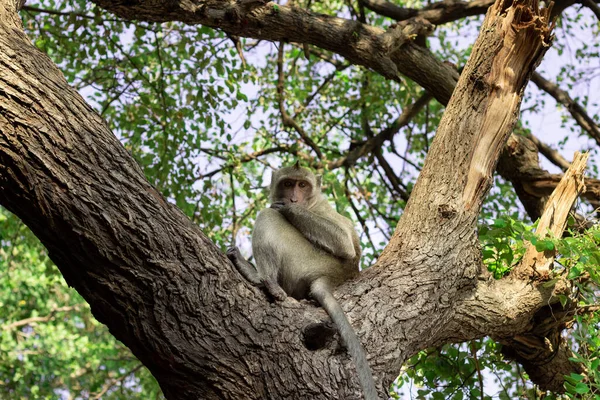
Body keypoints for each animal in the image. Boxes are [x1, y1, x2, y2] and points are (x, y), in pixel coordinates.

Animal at [227, 162, 378, 400]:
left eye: (302, 185)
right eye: (288, 184)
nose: (294, 199)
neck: (311, 203)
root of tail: (336, 276)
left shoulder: (322, 209)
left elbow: (344, 243)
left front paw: (289, 209)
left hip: (306, 260)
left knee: (268, 215)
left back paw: (262, 279)